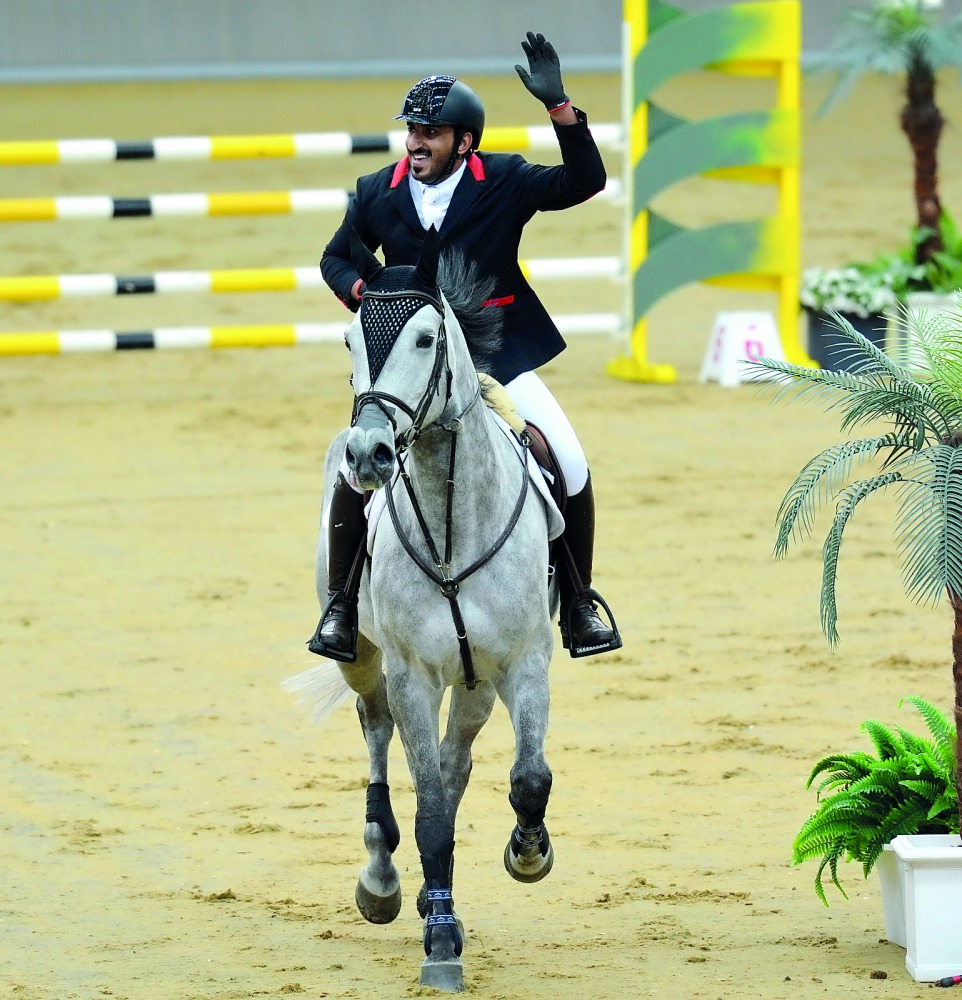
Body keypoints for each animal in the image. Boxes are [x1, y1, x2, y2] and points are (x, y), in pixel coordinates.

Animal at [284, 229, 556, 992]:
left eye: (428, 338)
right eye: (349, 339)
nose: (369, 453)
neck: (452, 519)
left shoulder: (523, 662)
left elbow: (527, 778)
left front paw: (528, 853)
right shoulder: (411, 674)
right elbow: (430, 810)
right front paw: (438, 944)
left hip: (475, 683)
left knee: (456, 763)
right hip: (365, 658)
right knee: (377, 732)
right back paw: (382, 879)